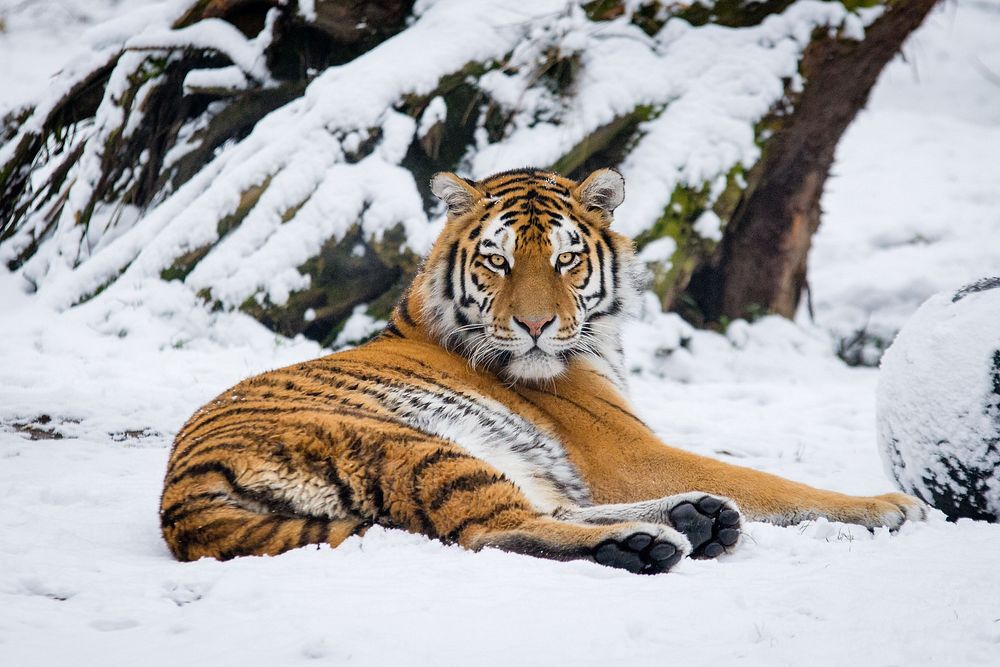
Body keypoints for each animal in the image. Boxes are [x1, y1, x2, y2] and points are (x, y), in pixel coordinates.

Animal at [158, 167, 928, 576]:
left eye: (565, 259)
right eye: (497, 260)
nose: (534, 325)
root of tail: (183, 505)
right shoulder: (628, 451)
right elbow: (773, 481)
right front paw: (888, 505)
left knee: (541, 507)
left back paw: (696, 517)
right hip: (412, 445)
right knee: (492, 529)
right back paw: (647, 540)